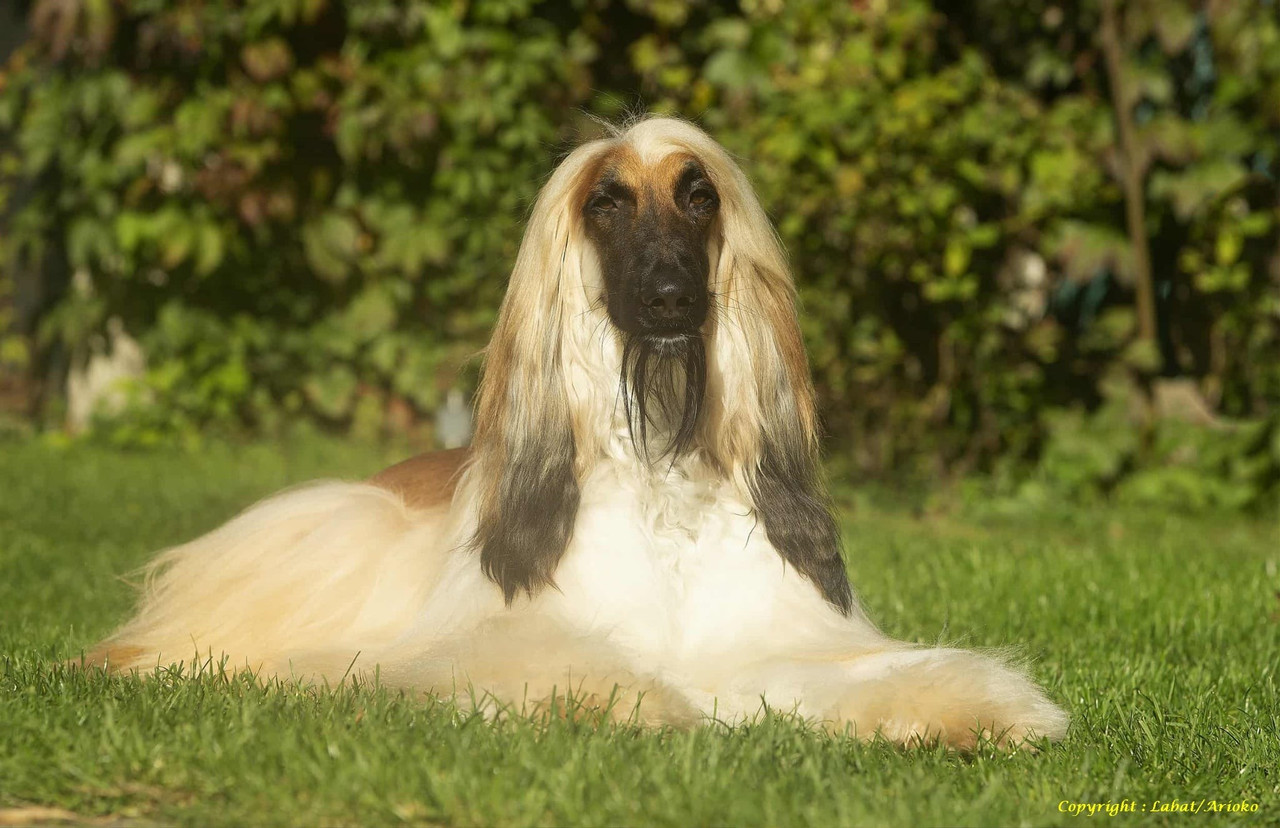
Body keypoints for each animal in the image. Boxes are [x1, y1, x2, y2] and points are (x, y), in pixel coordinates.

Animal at [87, 117, 1068, 749]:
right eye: (607, 202)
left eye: (699, 196)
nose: (673, 300)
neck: (661, 466)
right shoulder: (486, 643)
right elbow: (561, 666)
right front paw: (648, 706)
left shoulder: (769, 634)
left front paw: (975, 712)